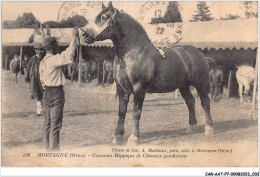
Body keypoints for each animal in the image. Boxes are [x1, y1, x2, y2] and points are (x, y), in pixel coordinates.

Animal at [83, 1, 213, 145]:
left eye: (104, 17)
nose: (84, 35)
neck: (130, 53)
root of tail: (200, 54)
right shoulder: (121, 89)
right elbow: (121, 111)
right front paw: (117, 136)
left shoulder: (139, 88)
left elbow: (136, 112)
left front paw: (133, 138)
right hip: (183, 85)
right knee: (190, 101)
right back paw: (191, 127)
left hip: (201, 83)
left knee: (205, 102)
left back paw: (209, 129)